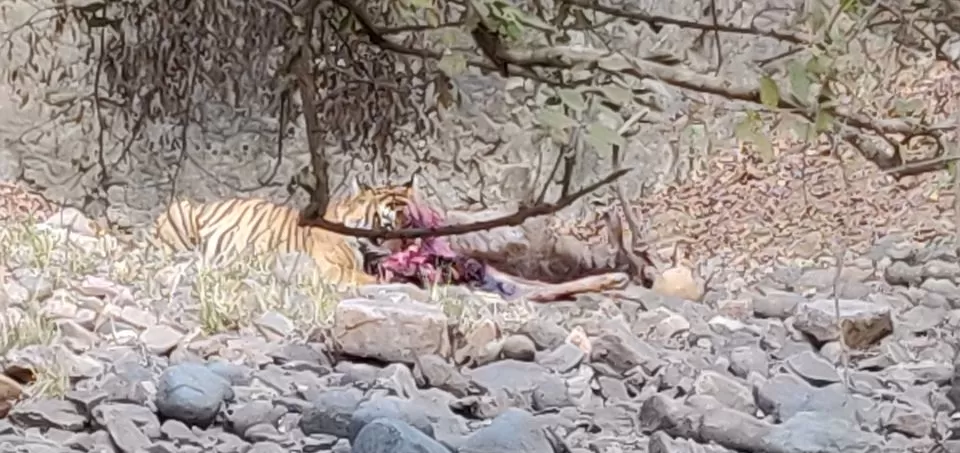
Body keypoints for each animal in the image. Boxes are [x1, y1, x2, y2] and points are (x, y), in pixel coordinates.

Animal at [150, 176, 418, 287]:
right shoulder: (333, 269)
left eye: (411, 223)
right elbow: (370, 279)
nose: (406, 248)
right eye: (385, 224)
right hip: (180, 212)